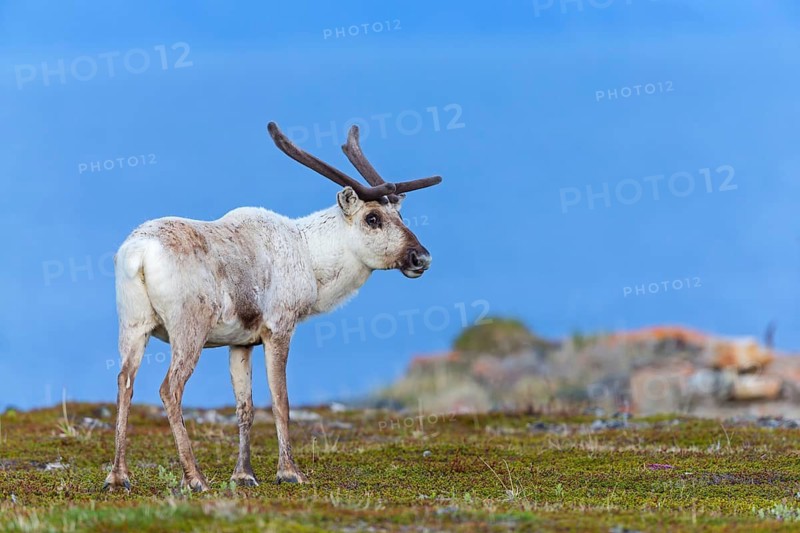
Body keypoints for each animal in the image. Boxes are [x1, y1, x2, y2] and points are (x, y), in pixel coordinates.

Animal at [102, 122, 442, 492]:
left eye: (400, 214)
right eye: (373, 218)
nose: (422, 258)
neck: (310, 257)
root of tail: (140, 254)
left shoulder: (241, 342)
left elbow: (245, 406)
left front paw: (243, 474)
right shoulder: (278, 327)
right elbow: (281, 401)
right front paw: (289, 471)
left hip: (133, 325)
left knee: (124, 382)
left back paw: (118, 476)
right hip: (188, 328)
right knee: (169, 388)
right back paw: (195, 478)